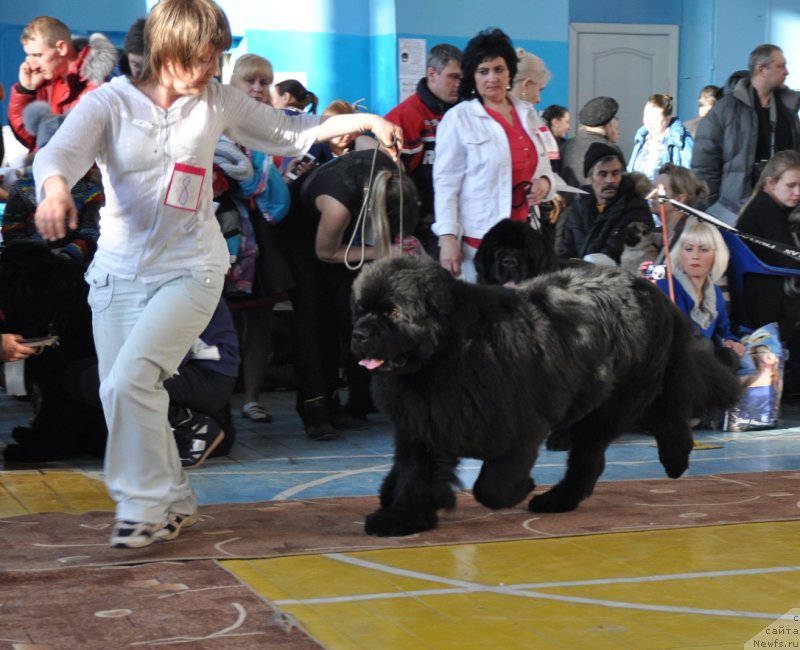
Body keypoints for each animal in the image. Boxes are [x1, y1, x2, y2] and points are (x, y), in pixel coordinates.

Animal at [354, 256, 740, 536]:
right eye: (362, 309)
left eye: (393, 312)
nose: (358, 333)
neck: (445, 354)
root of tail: (650, 288)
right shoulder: (426, 424)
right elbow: (414, 475)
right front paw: (400, 517)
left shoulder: (521, 429)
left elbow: (490, 487)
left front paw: (521, 487)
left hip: (618, 400)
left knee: (617, 442)